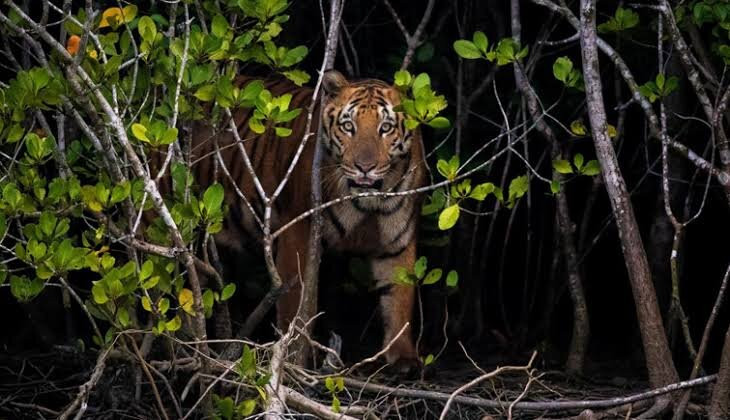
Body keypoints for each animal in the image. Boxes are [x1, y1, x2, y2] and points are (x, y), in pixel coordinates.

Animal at [188, 69, 426, 370]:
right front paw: (292, 357)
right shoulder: (298, 234)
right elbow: (296, 303)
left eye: (385, 128)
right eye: (349, 126)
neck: (367, 202)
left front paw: (403, 357)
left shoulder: (398, 241)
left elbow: (400, 297)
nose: (364, 168)